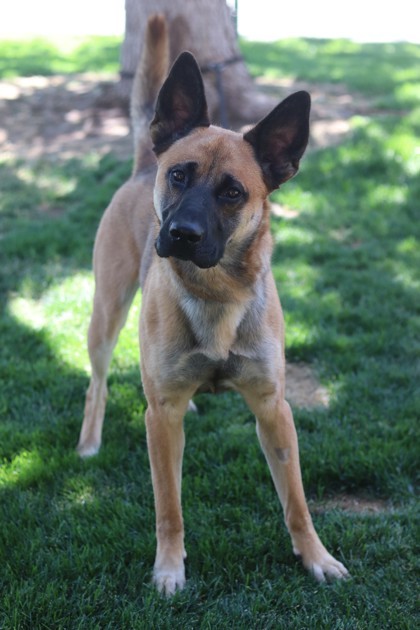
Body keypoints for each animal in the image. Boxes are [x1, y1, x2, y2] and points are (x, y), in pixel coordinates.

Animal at [77, 16, 350, 596]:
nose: (181, 234)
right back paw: (89, 441)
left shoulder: (274, 409)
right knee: (98, 382)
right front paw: (169, 568)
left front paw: (316, 557)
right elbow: (169, 506)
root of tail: (144, 162)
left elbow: (297, 502)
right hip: (106, 313)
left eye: (232, 192)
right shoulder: (160, 422)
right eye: (180, 174)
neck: (216, 294)